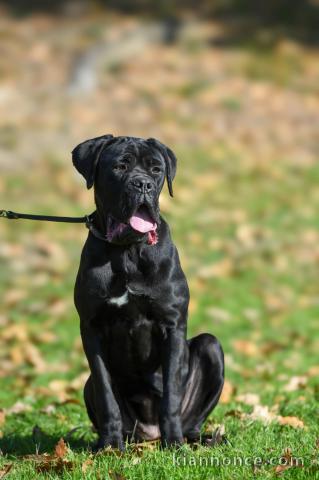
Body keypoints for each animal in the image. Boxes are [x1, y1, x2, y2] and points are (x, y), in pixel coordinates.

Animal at [72, 134, 224, 450]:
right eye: (120, 166)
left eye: (156, 169)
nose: (143, 184)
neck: (128, 251)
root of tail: (148, 435)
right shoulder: (91, 329)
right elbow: (106, 393)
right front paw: (109, 445)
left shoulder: (172, 324)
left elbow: (171, 394)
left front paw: (174, 443)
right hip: (88, 385)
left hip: (212, 347)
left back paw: (195, 439)